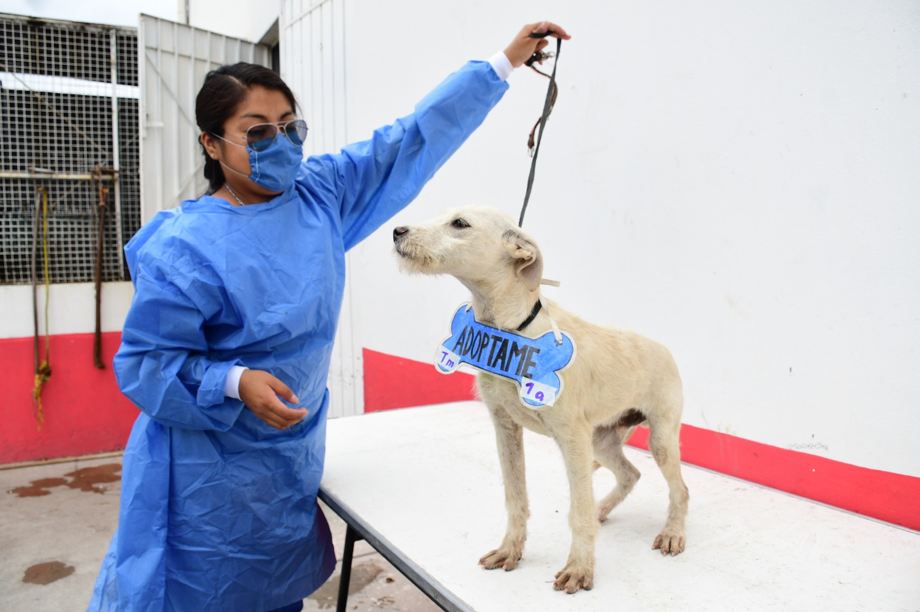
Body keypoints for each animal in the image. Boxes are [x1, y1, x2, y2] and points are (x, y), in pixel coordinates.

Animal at [392, 207, 688, 592]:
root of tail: (665, 349)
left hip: (661, 439)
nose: (397, 231)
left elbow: (577, 511)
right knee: (630, 474)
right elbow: (516, 497)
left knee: (680, 489)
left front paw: (580, 567)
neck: (510, 329)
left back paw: (673, 532)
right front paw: (510, 549)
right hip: (603, 440)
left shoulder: (572, 438)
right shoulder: (505, 427)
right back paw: (603, 509)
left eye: (459, 223)